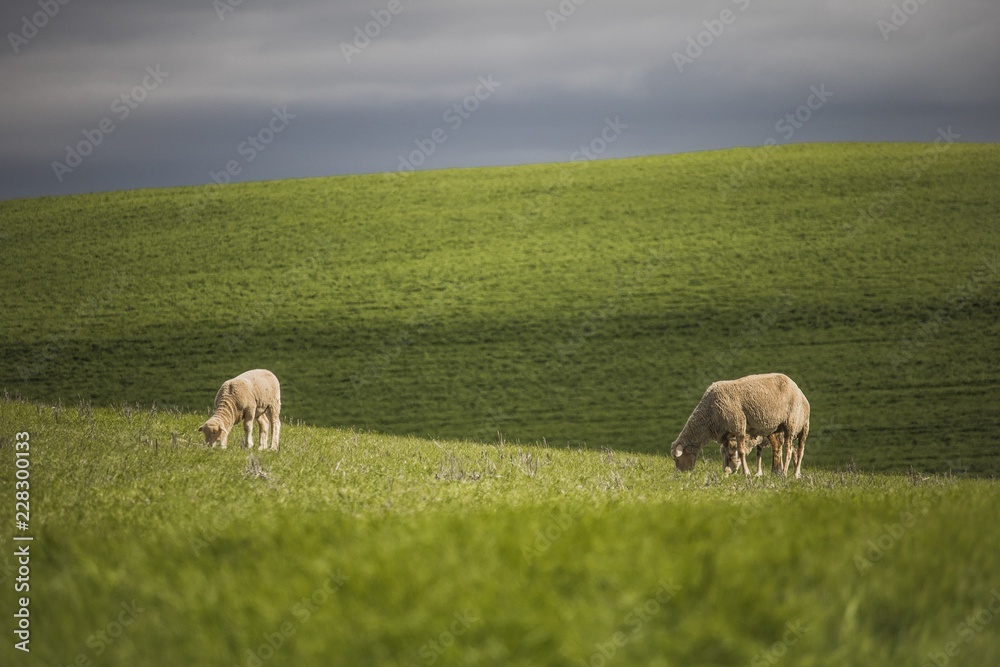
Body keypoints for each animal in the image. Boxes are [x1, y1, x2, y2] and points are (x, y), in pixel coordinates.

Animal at [672, 373, 810, 478]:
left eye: (676, 458)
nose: (681, 473)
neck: (709, 416)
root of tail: (797, 387)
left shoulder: (738, 426)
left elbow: (741, 451)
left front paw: (746, 473)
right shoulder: (726, 433)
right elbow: (726, 451)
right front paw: (726, 472)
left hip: (794, 424)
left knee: (794, 450)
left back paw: (789, 474)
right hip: (777, 428)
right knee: (781, 449)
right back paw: (780, 473)